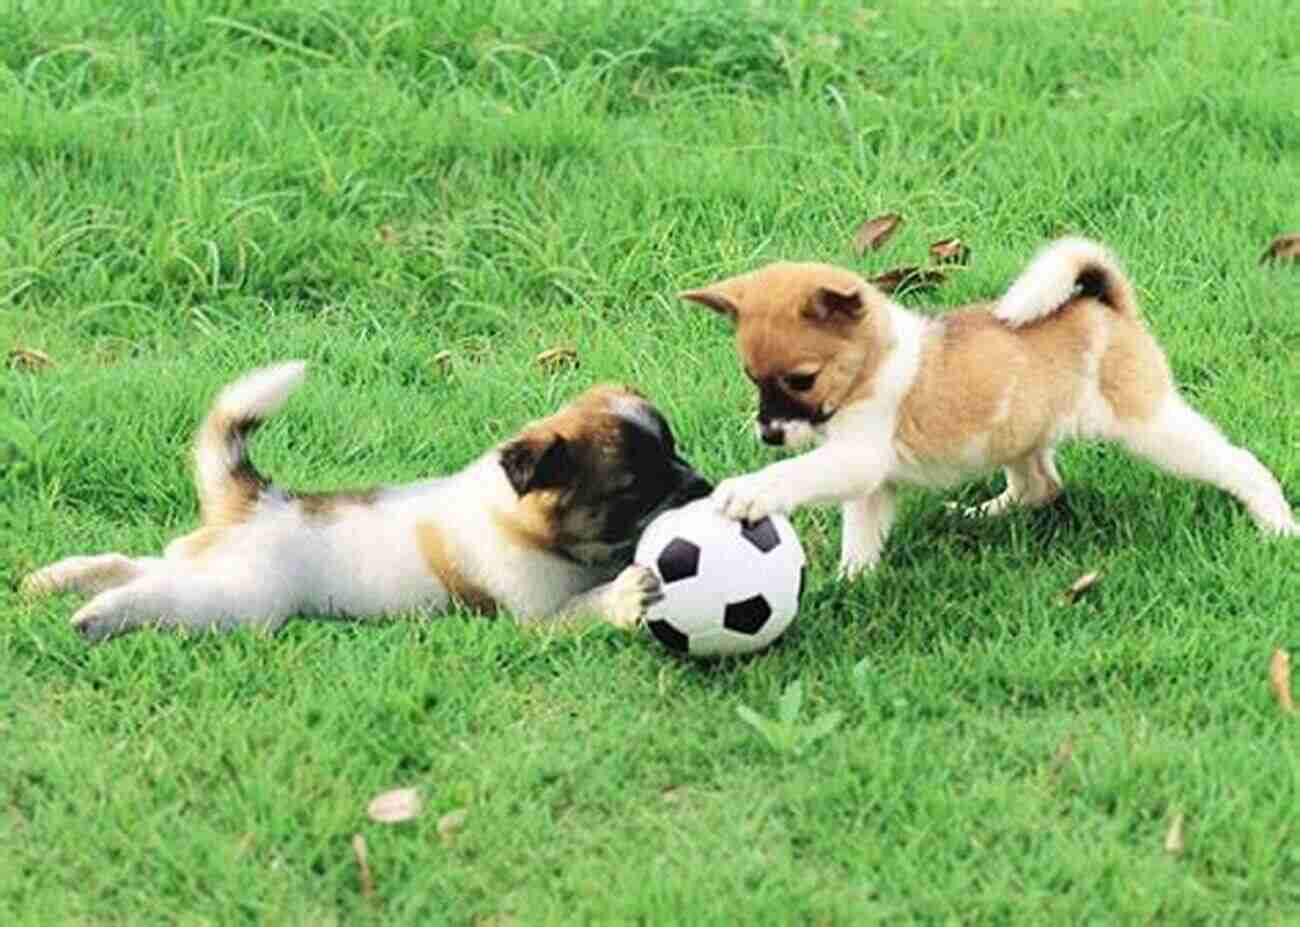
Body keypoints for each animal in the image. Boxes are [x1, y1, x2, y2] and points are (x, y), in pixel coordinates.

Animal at [22, 364, 712, 644]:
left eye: (675, 452)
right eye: (633, 488)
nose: (705, 489)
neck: (521, 522)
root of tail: (259, 501)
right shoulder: (538, 618)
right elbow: (589, 605)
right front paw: (624, 594)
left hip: (208, 565)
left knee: (135, 564)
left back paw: (55, 580)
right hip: (240, 597)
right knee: (158, 594)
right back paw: (98, 615)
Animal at [686, 235, 1294, 574]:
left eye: (801, 380)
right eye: (751, 378)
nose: (769, 435)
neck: (875, 363)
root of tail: (1107, 305)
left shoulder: (855, 461)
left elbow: (797, 475)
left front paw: (749, 491)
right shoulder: (869, 483)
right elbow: (860, 538)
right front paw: (851, 583)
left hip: (1150, 427)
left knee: (1238, 462)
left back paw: (1276, 523)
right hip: (1019, 432)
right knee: (1039, 486)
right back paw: (978, 513)